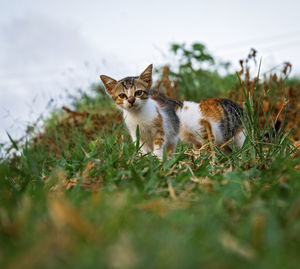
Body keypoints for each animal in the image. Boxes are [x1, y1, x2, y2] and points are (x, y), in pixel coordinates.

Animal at [99, 63, 245, 158]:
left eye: (138, 92)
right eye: (122, 95)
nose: (131, 100)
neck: (138, 116)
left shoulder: (162, 129)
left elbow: (159, 145)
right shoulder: (136, 134)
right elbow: (142, 149)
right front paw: (144, 160)